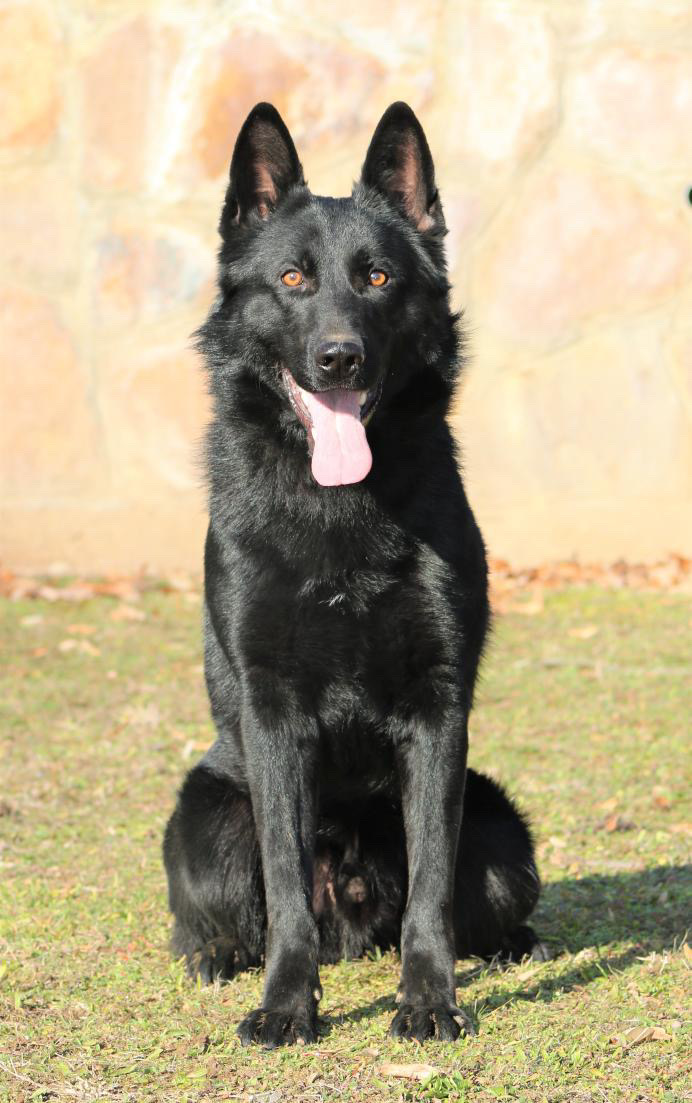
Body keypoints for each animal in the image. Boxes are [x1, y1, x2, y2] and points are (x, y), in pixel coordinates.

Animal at [163, 99, 547, 1045]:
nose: (340, 358)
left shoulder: (437, 714)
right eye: (293, 279)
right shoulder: (272, 714)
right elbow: (285, 882)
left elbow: (432, 886)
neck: (339, 507)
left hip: (501, 830)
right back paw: (218, 955)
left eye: (377, 279)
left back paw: (513, 944)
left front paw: (429, 998)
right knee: (230, 909)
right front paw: (286, 1003)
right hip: (204, 823)